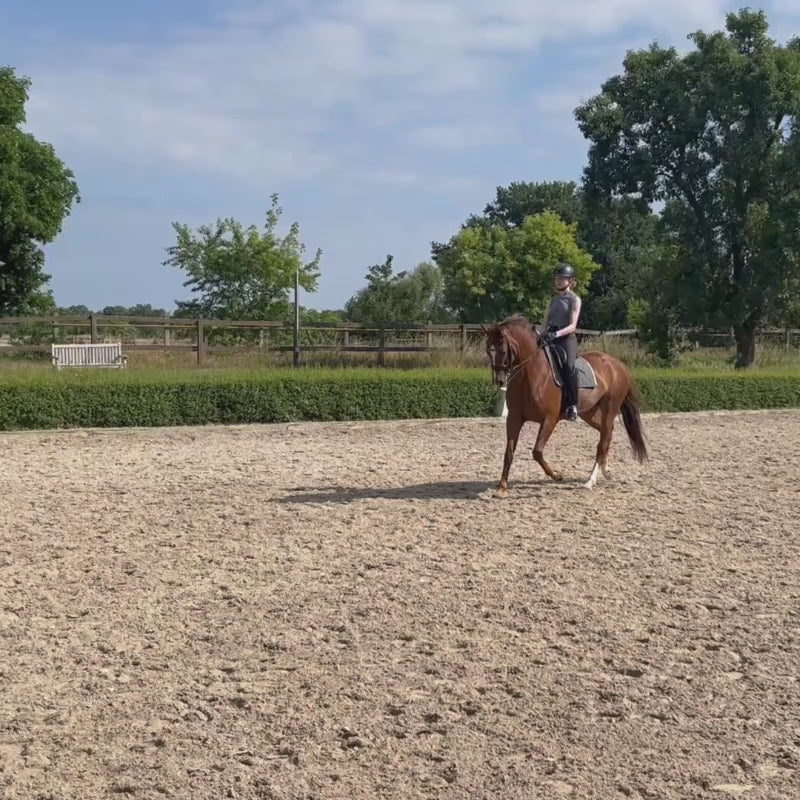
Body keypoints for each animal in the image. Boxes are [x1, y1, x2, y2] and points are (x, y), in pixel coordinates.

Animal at [481, 315, 648, 495]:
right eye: (488, 351)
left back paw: (590, 481)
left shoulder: (549, 420)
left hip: (609, 409)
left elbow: (537, 452)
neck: (530, 374)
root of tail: (619, 365)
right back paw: (605, 470)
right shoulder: (513, 418)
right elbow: (509, 451)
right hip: (590, 413)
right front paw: (502, 487)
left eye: (503, 351)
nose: (499, 381)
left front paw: (557, 475)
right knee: (607, 433)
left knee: (603, 441)